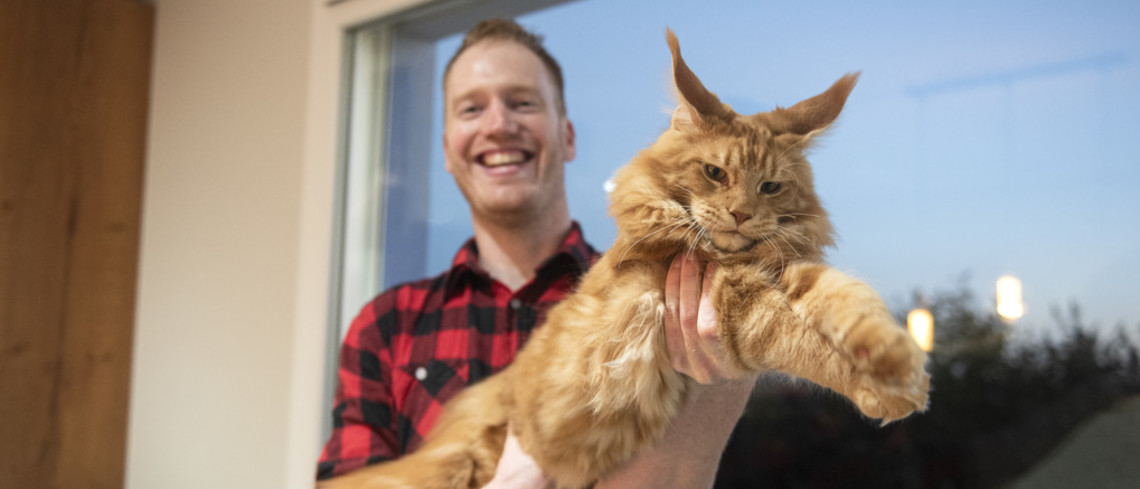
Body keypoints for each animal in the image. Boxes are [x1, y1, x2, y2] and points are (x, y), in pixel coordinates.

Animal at [321, 29, 925, 487]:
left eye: (771, 187)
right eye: (715, 173)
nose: (740, 214)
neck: (722, 256)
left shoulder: (782, 272)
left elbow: (853, 300)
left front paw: (897, 366)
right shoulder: (739, 304)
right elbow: (800, 341)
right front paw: (882, 390)